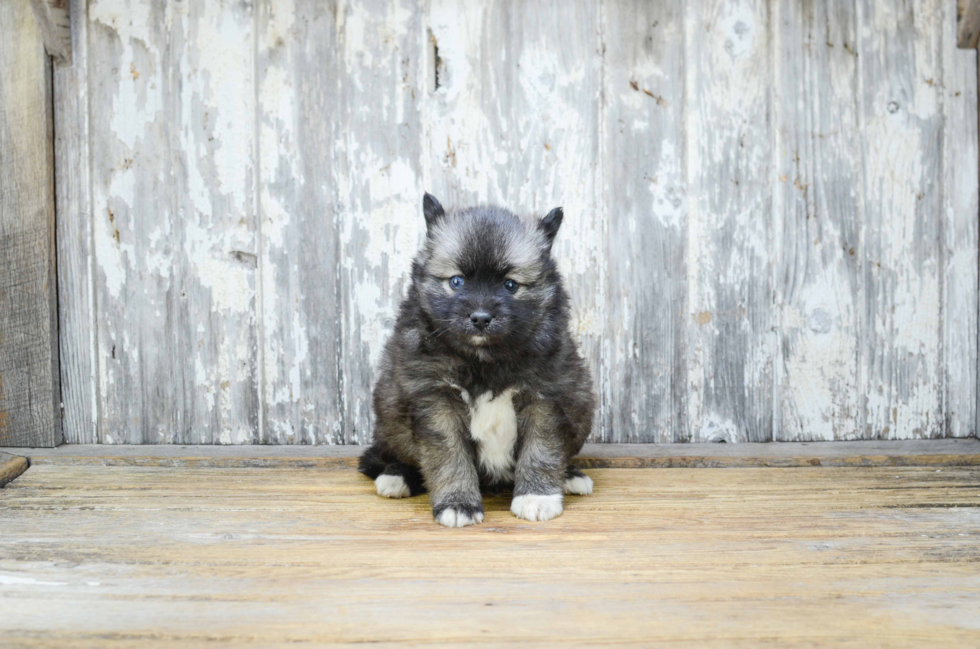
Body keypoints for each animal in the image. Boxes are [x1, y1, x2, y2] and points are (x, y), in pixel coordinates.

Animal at [356, 194, 592, 528]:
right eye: (456, 281)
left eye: (510, 285)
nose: (480, 318)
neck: (484, 360)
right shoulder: (436, 401)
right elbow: (448, 457)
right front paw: (458, 503)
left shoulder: (545, 398)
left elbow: (542, 449)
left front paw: (537, 496)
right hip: (389, 416)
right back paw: (397, 476)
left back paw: (570, 475)